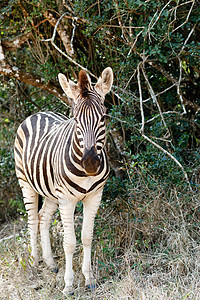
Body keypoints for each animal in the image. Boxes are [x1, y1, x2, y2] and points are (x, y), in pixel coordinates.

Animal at [14, 67, 113, 294]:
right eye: (75, 119)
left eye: (103, 116)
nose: (90, 163)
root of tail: (38, 113)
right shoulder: (67, 201)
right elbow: (70, 243)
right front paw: (68, 285)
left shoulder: (95, 196)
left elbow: (87, 237)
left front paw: (89, 279)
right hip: (26, 183)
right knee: (32, 220)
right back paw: (35, 262)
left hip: (51, 192)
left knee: (43, 218)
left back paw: (51, 263)